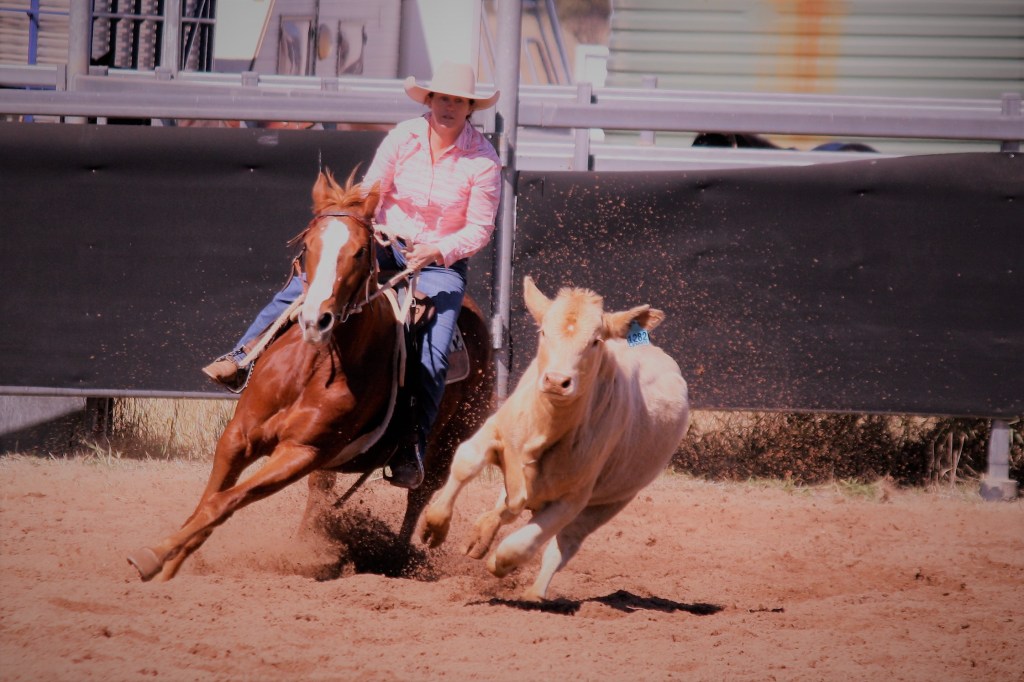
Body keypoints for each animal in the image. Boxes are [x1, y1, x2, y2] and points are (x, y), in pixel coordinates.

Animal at [421, 276, 691, 601]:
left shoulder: (573, 499)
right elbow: (467, 461)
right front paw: (435, 527)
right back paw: (481, 534)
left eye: (595, 341)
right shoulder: (496, 431)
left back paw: (534, 592)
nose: (556, 381)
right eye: (543, 332)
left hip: (611, 502)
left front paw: (500, 564)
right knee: (507, 507)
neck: (546, 428)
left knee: (563, 545)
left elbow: (520, 547)